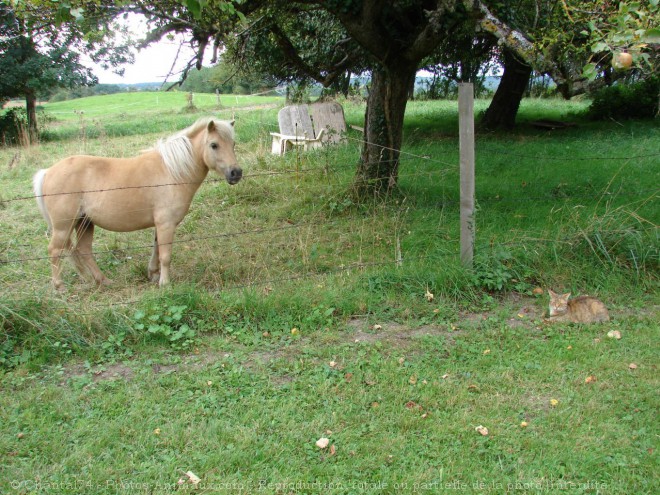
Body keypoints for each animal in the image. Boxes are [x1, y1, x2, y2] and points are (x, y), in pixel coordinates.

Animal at [33, 116, 242, 290]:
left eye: (233, 144)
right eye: (214, 145)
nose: (236, 173)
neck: (172, 172)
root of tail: (48, 171)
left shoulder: (161, 224)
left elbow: (156, 250)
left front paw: (153, 274)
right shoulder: (166, 223)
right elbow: (165, 255)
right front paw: (165, 283)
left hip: (84, 223)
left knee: (82, 251)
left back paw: (101, 280)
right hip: (64, 226)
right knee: (55, 250)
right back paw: (59, 286)